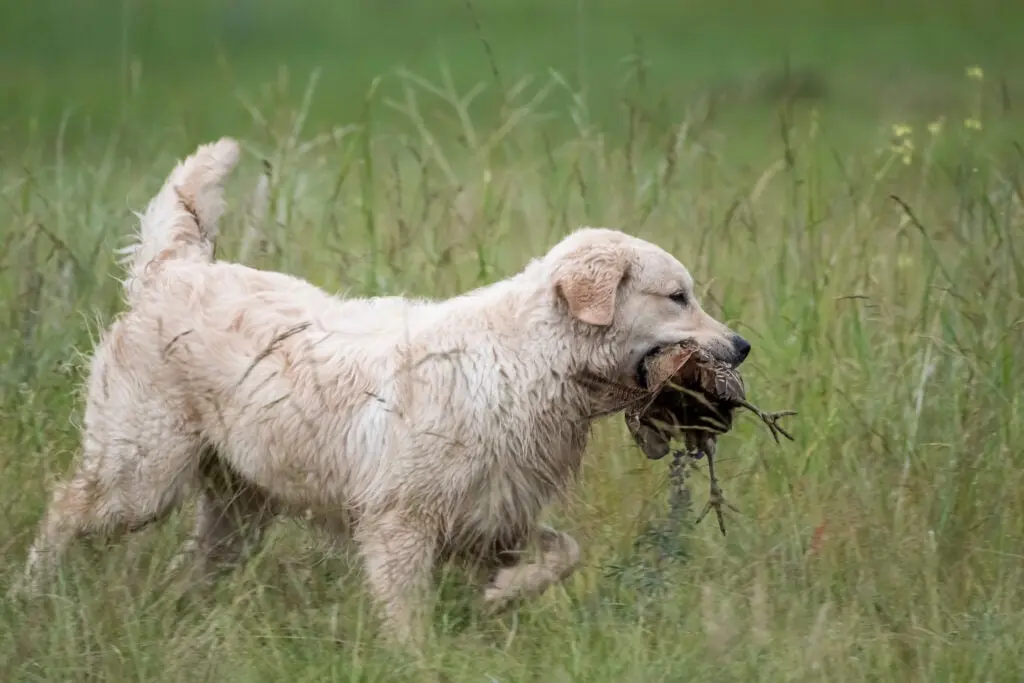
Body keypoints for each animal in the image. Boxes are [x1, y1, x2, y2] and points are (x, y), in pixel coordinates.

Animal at [9, 137, 753, 647]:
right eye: (678, 296)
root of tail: (175, 270)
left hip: (238, 512)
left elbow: (561, 556)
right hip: (141, 477)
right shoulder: (400, 525)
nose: (743, 345)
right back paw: (26, 591)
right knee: (67, 506)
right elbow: (410, 618)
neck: (532, 363)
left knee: (190, 568)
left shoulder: (495, 519)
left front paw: (502, 596)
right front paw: (425, 655)